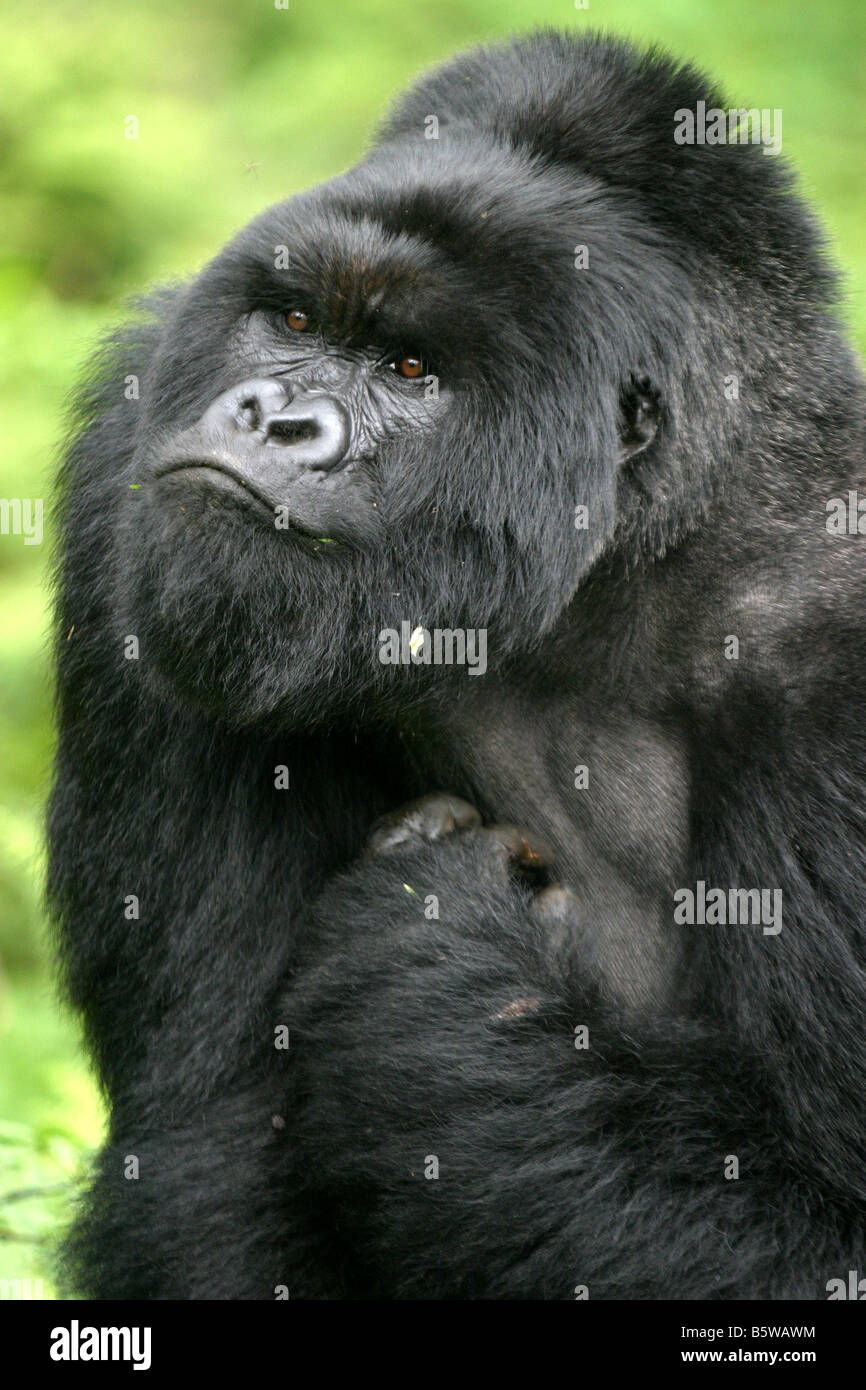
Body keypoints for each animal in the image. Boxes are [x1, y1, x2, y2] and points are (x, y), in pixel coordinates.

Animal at [48, 27, 866, 1295]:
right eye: (293, 323)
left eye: (409, 368)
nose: (276, 418)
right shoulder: (125, 476)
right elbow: (208, 1149)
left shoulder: (838, 650)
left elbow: (819, 1226)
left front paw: (437, 953)